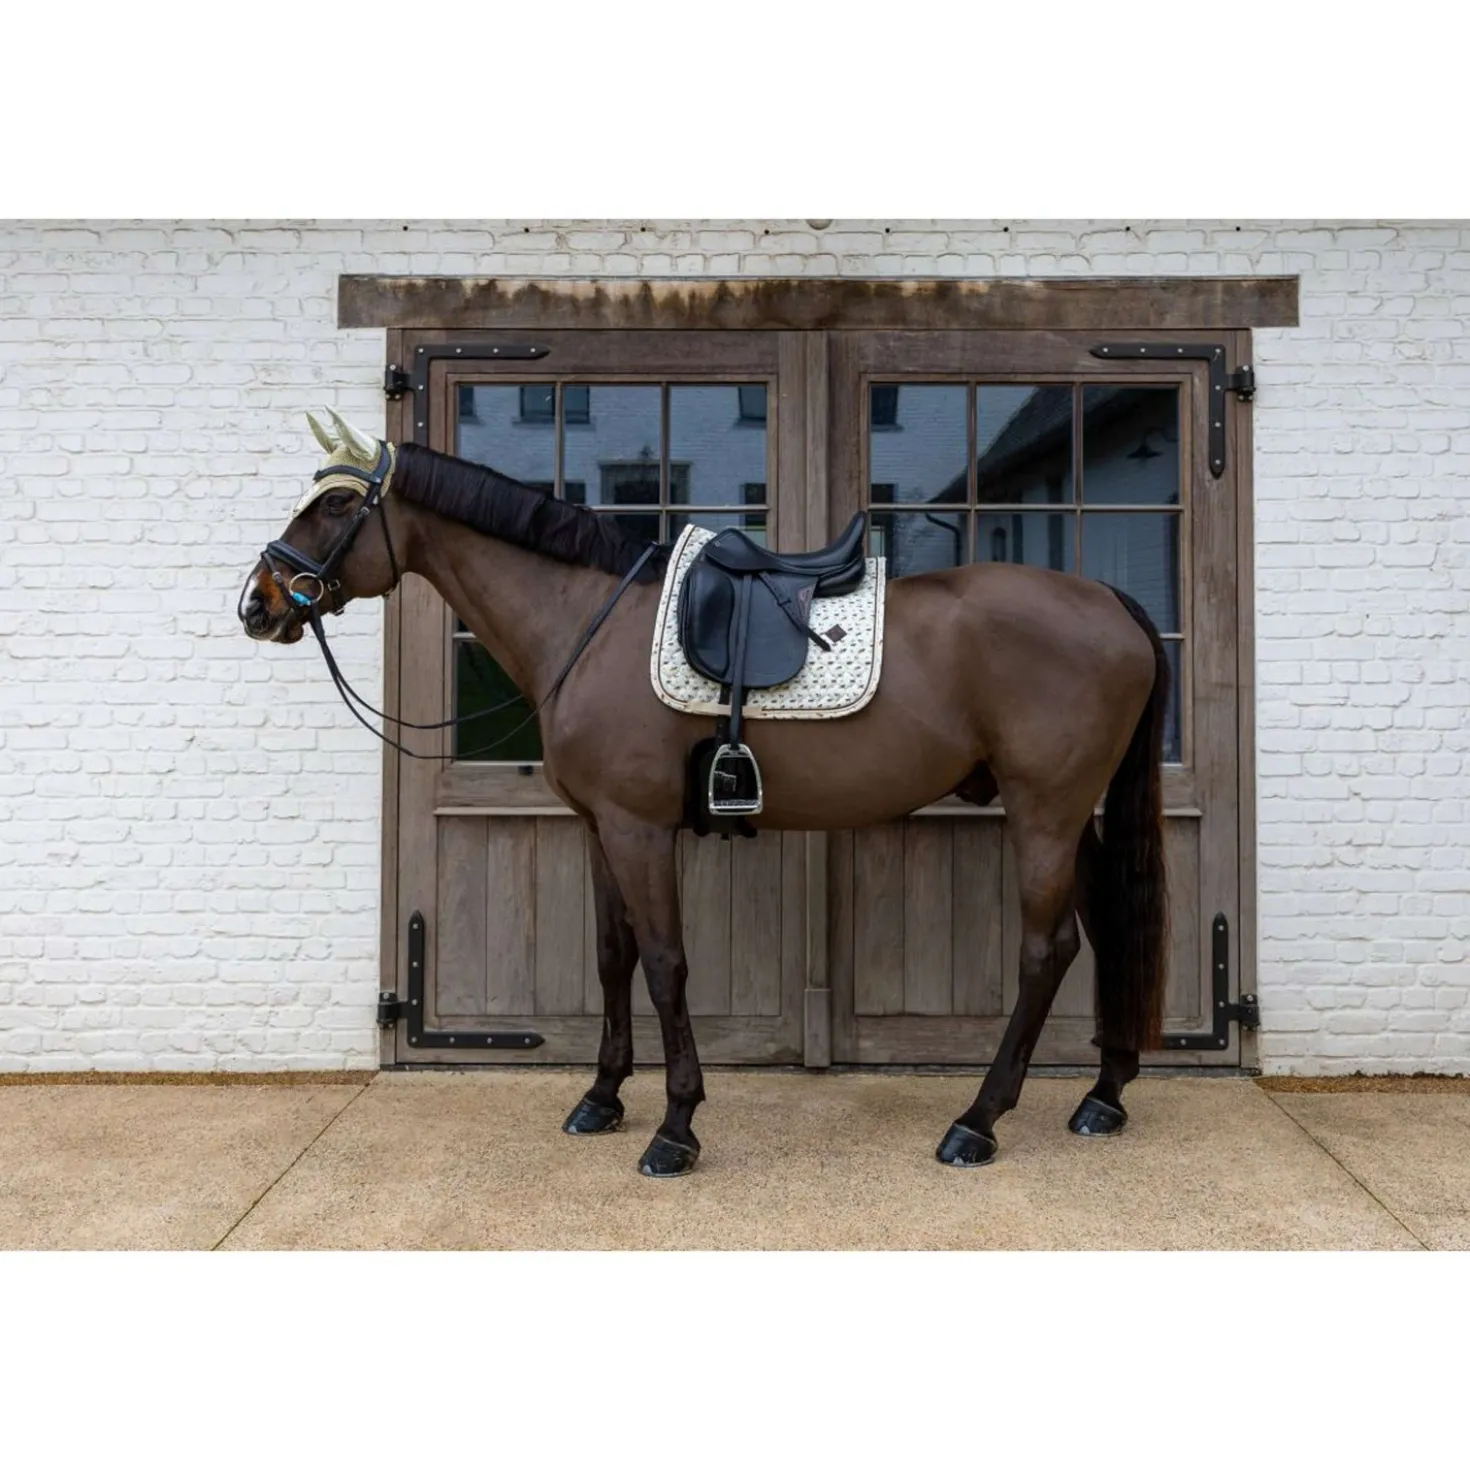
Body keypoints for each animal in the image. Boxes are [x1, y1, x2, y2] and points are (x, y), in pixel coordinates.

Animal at [238, 409, 1169, 1178]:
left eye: (333, 506)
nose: (259, 601)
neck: (588, 619)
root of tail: (1111, 602)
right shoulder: (598, 828)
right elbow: (613, 956)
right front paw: (602, 1097)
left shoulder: (640, 829)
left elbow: (664, 963)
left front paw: (675, 1127)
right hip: (1074, 813)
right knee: (1108, 924)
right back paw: (1104, 1094)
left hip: (1044, 810)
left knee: (1047, 949)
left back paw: (978, 1120)